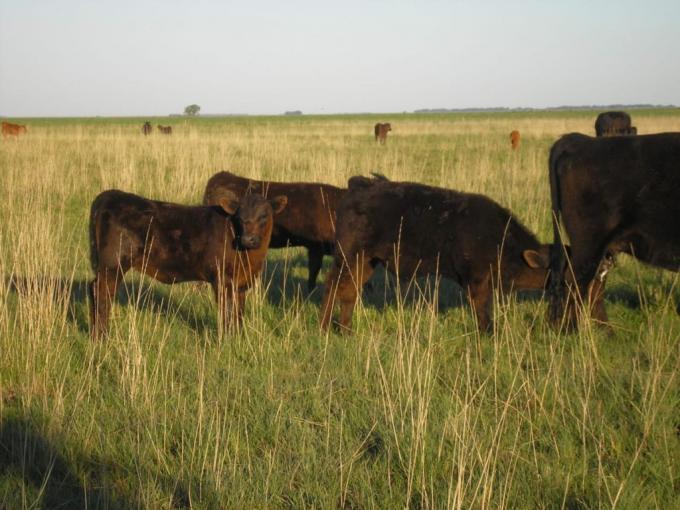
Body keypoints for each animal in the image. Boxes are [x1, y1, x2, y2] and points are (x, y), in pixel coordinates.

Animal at [88, 188, 286, 338]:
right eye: (239, 218)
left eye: (264, 216)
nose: (248, 239)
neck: (249, 258)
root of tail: (110, 194)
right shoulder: (222, 279)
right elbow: (227, 310)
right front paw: (226, 339)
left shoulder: (240, 283)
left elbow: (238, 311)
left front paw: (237, 337)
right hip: (113, 264)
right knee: (103, 293)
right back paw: (102, 336)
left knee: (94, 288)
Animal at [320, 177, 552, 332]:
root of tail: (359, 186)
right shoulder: (477, 280)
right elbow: (482, 308)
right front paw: (489, 333)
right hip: (348, 258)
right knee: (334, 285)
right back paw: (325, 326)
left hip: (366, 262)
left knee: (350, 290)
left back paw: (346, 330)